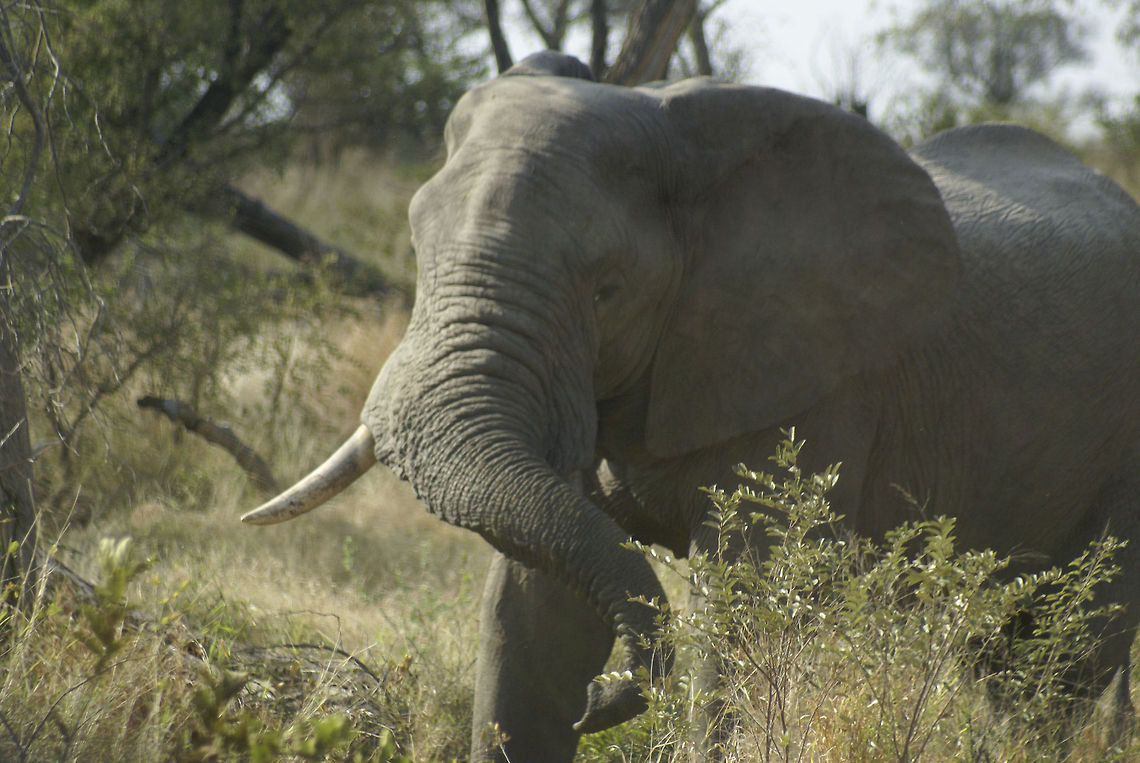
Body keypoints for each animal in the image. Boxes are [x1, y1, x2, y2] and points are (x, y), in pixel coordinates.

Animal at [242, 52, 1140, 762]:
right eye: (417, 247)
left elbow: (745, 608)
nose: (604, 700)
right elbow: (532, 610)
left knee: (1067, 651)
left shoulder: (814, 380)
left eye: (607, 286)